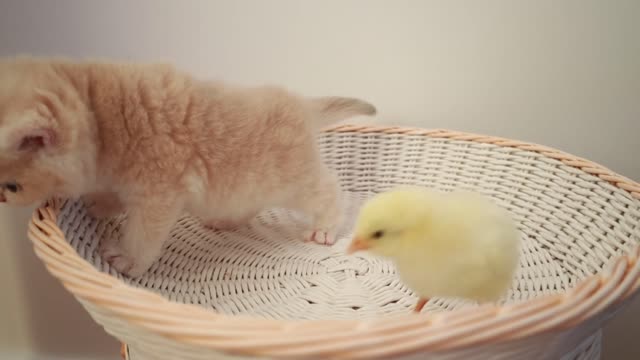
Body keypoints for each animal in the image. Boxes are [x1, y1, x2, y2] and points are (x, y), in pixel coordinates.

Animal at [0, 57, 376, 276]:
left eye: (11, 186)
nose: (2, 199)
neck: (99, 115)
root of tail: (300, 103)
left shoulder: (160, 191)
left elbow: (142, 233)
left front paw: (128, 259)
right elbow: (113, 196)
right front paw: (100, 204)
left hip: (293, 180)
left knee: (328, 189)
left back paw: (324, 227)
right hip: (249, 182)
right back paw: (225, 220)